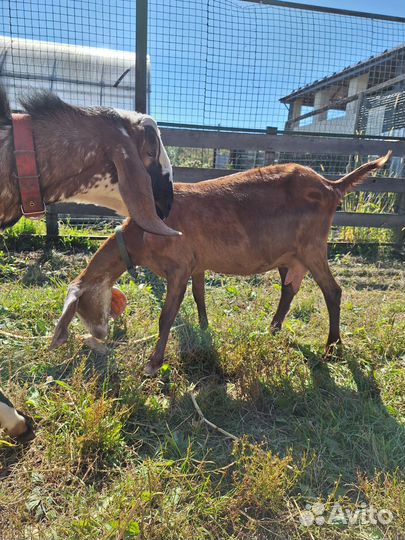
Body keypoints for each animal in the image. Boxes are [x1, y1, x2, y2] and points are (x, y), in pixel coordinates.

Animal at [49, 152, 388, 376]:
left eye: (80, 307)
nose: (99, 335)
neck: (143, 235)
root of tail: (332, 186)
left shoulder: (178, 267)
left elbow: (166, 316)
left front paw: (153, 363)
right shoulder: (196, 263)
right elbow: (200, 297)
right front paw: (203, 328)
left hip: (313, 247)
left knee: (333, 291)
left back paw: (332, 348)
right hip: (288, 254)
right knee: (289, 290)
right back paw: (272, 329)